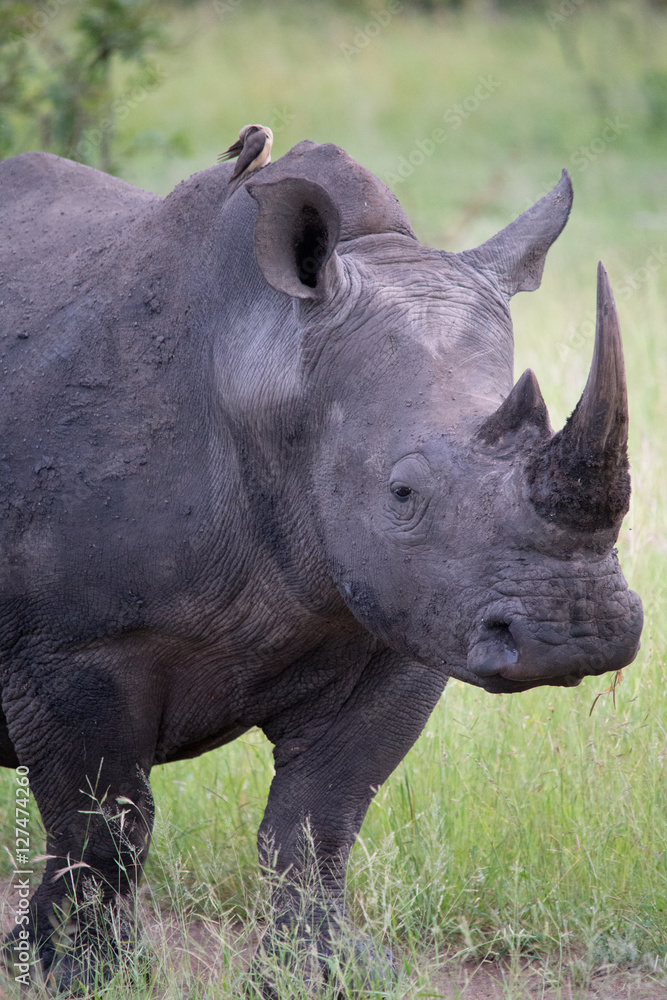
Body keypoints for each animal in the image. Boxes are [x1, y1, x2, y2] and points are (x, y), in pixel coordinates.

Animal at [0, 140, 642, 988]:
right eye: (402, 493)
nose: (576, 634)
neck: (267, 360)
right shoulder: (73, 645)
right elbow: (101, 826)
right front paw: (82, 976)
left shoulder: (400, 620)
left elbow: (319, 818)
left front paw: (321, 972)